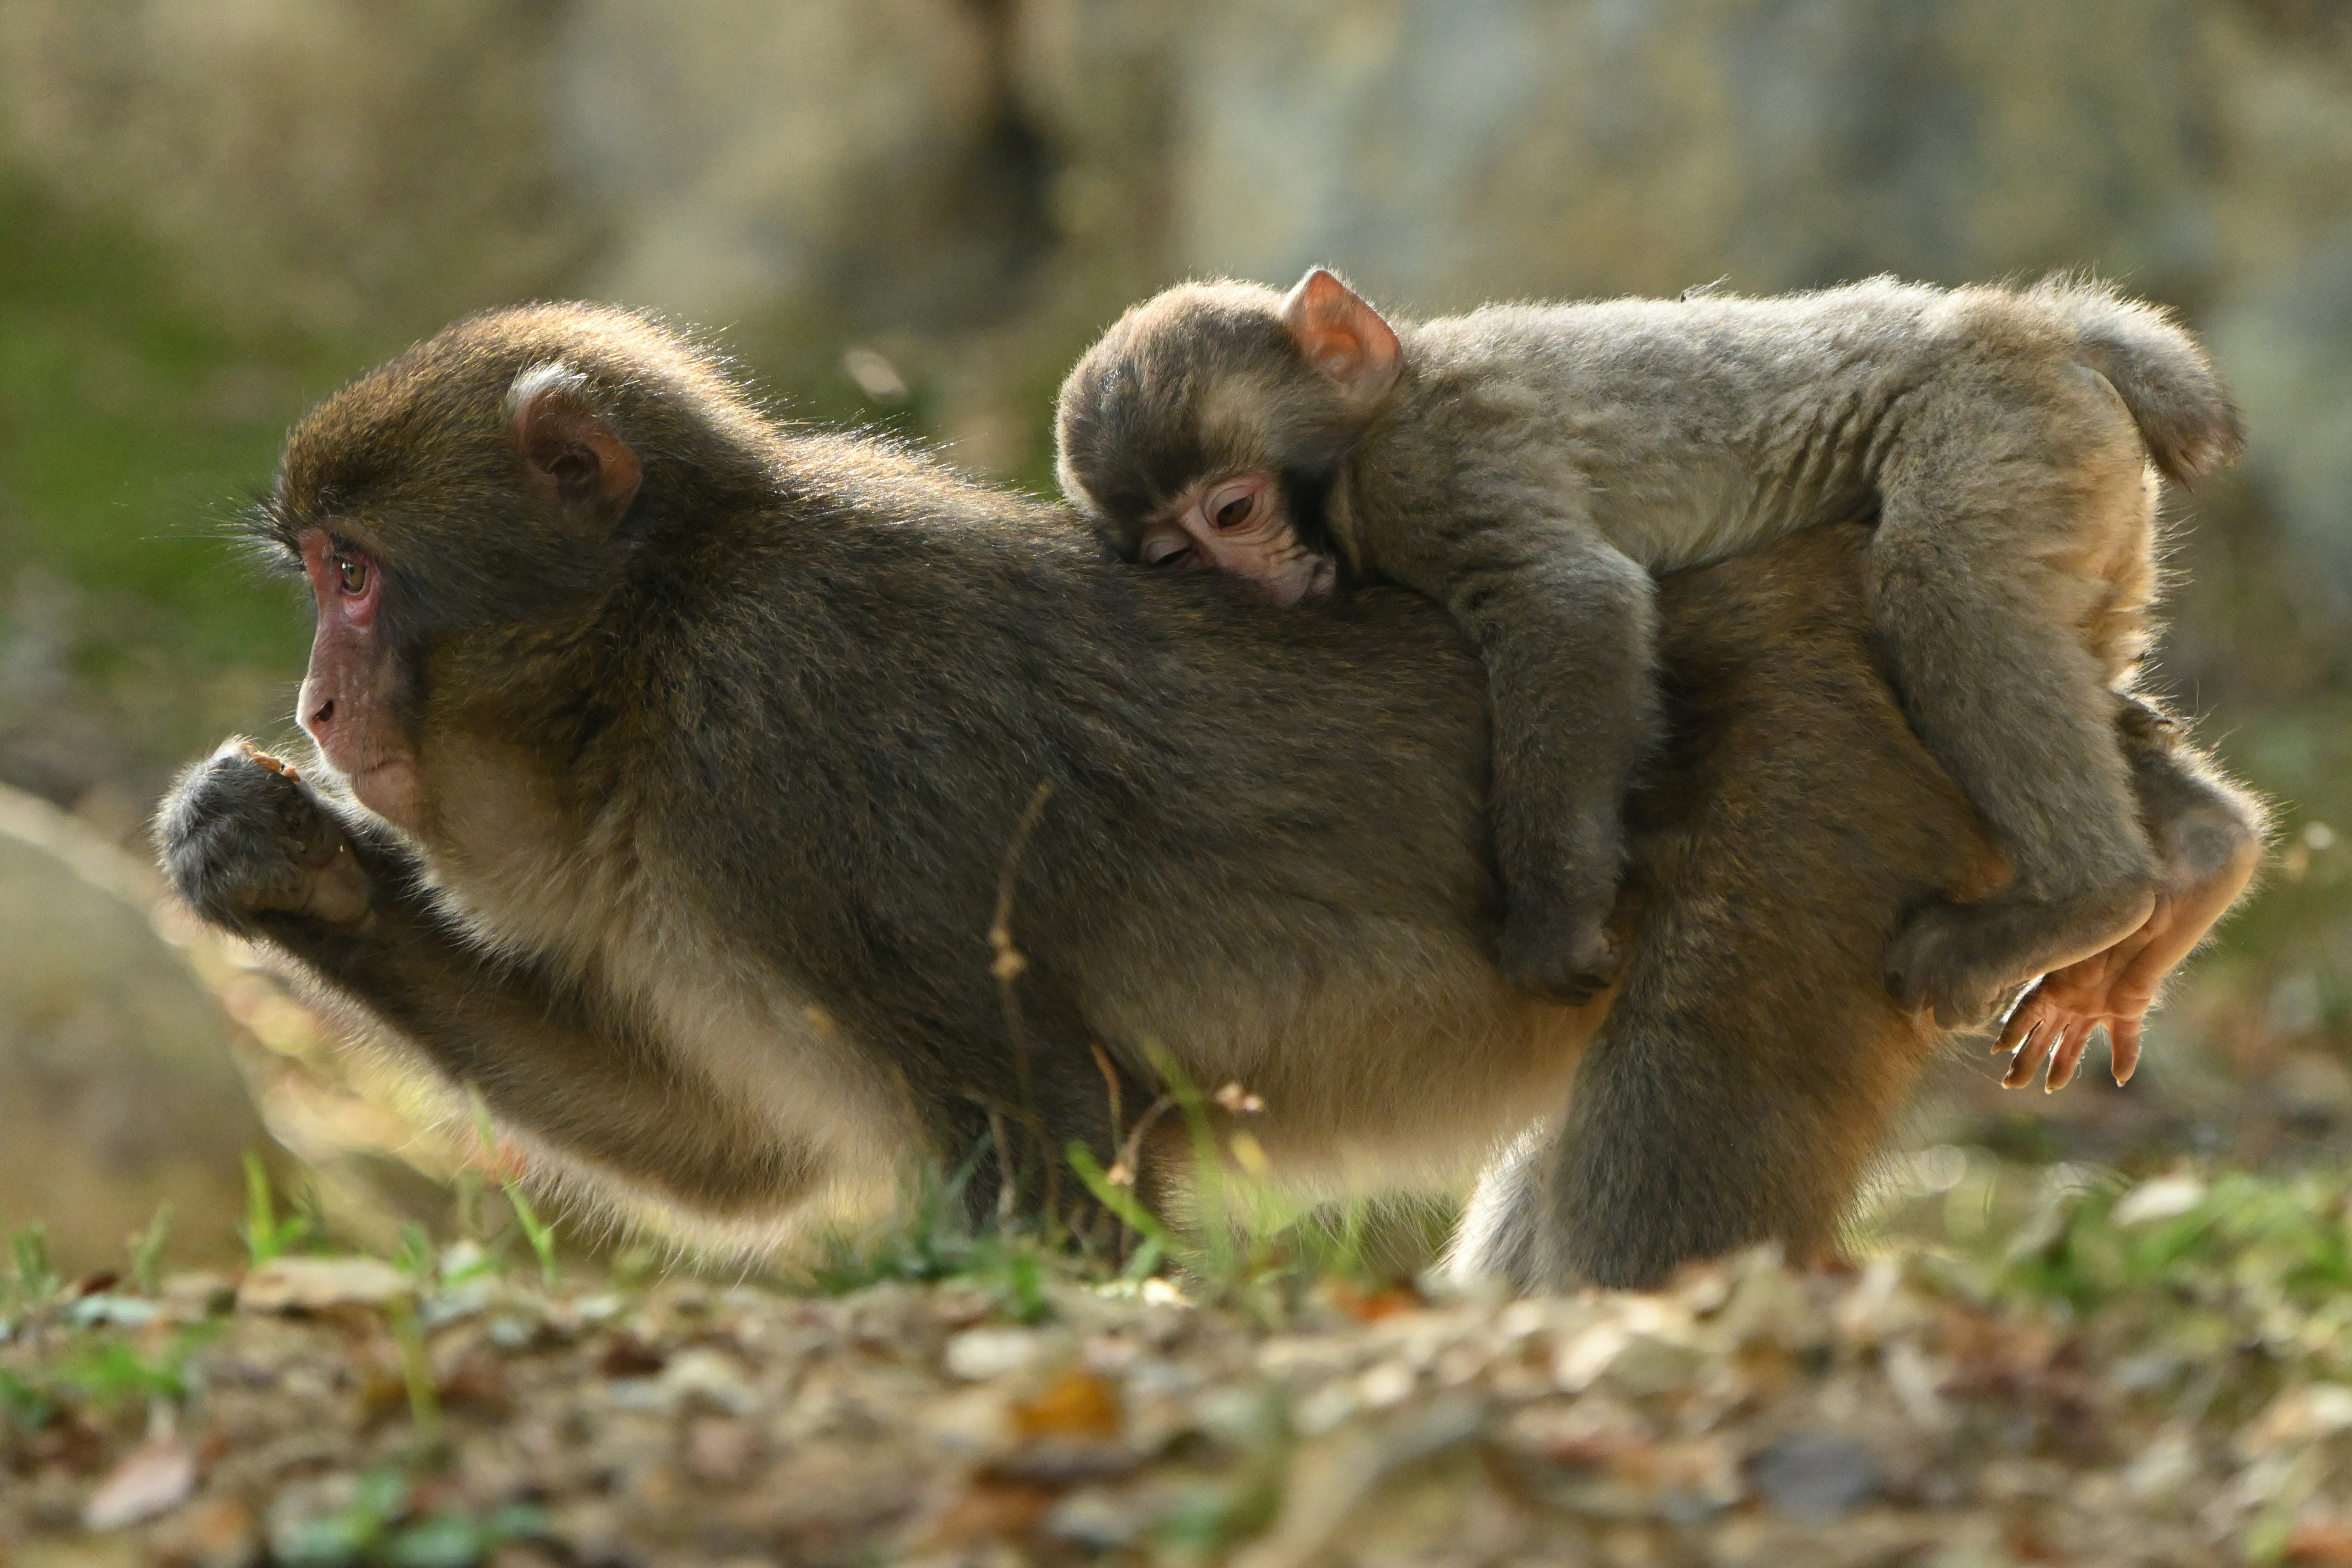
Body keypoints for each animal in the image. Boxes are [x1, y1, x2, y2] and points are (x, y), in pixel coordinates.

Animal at [1053, 269, 2246, 1027]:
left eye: (1235, 510)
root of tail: (2043, 327)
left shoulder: (1429, 469)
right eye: (1176, 555)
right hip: (2087, 500)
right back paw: (2200, 858)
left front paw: (1553, 917)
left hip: (2004, 426)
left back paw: (2090, 898)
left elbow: (1571, 606)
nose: (1247, 580)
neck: (1383, 403)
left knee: (1938, 574)